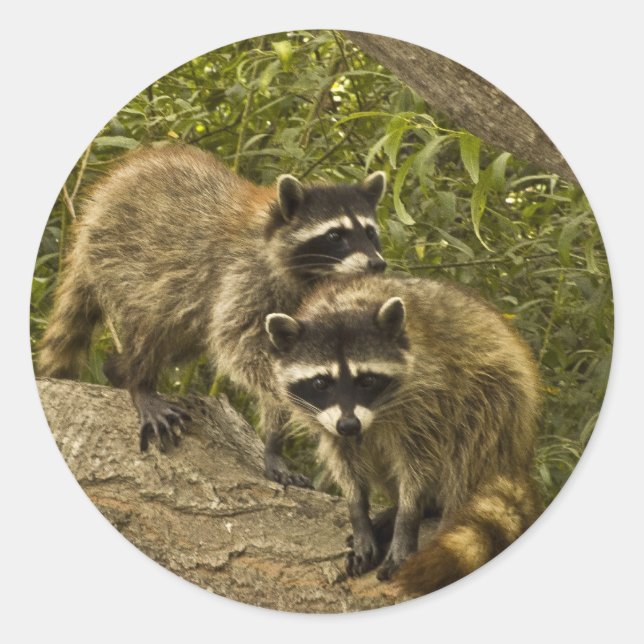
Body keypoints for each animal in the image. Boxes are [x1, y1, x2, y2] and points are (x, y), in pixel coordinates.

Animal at [38, 144, 387, 487]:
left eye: (371, 233)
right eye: (335, 235)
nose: (377, 264)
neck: (310, 273)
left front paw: (275, 441)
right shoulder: (244, 273)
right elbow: (241, 345)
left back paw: (117, 369)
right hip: (123, 255)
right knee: (153, 318)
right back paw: (140, 381)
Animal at [265, 274, 543, 594]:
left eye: (367, 380)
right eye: (321, 382)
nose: (350, 426)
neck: (341, 307)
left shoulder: (427, 395)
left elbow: (418, 464)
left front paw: (407, 518)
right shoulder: (327, 420)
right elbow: (346, 462)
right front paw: (359, 514)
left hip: (498, 394)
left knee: (472, 438)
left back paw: (443, 506)